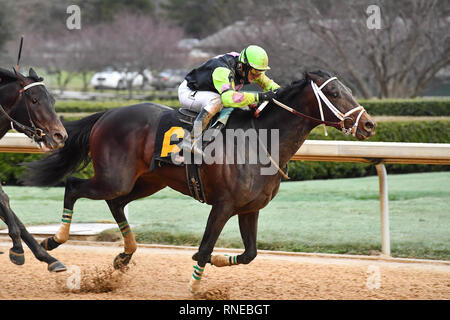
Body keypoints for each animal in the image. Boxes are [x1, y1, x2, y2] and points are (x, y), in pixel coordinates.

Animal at [0, 67, 67, 272]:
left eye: (53, 100)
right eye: (35, 100)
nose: (60, 136)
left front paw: (48, 257)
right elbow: (4, 199)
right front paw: (17, 248)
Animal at [22, 70, 376, 290]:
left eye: (348, 89)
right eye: (334, 92)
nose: (369, 125)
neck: (261, 140)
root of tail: (107, 114)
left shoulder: (250, 209)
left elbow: (249, 254)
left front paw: (218, 261)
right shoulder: (223, 205)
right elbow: (205, 247)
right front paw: (195, 286)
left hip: (146, 181)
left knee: (116, 202)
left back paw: (124, 255)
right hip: (114, 177)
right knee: (74, 185)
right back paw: (55, 240)